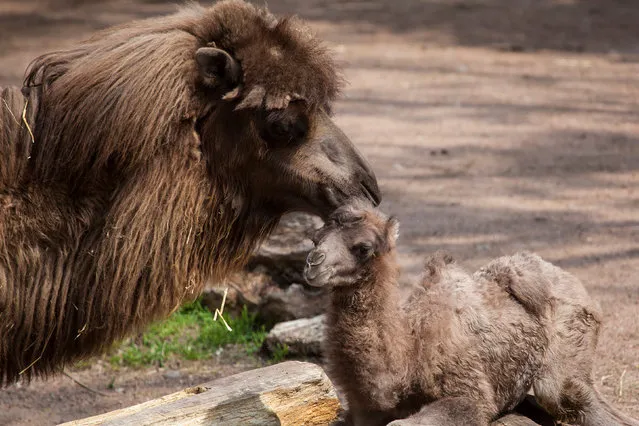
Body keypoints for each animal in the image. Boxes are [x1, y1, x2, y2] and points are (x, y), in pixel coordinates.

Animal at [306, 203, 639, 426]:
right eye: (316, 237)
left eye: (363, 247)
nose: (313, 262)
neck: (406, 357)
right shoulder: (361, 412)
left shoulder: (469, 394)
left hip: (569, 348)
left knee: (569, 396)